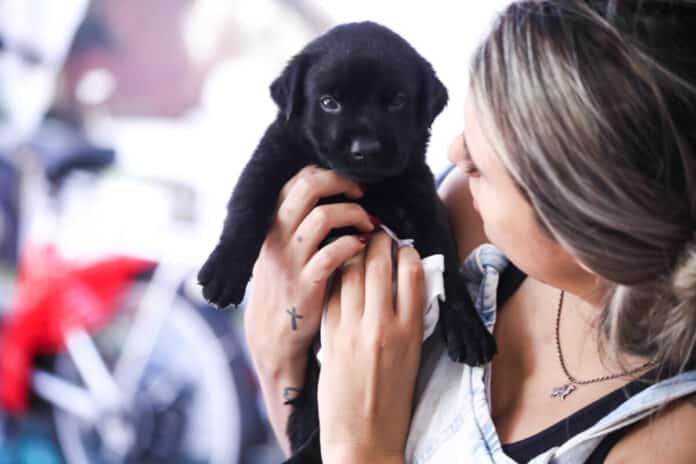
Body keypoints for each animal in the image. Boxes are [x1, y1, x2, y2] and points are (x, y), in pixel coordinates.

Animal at [198, 22, 498, 464]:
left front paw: (467, 327)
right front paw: (225, 272)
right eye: (329, 103)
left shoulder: (421, 199)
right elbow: (245, 210)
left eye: (396, 101)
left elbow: (446, 266)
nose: (364, 149)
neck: (367, 187)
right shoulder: (271, 158)